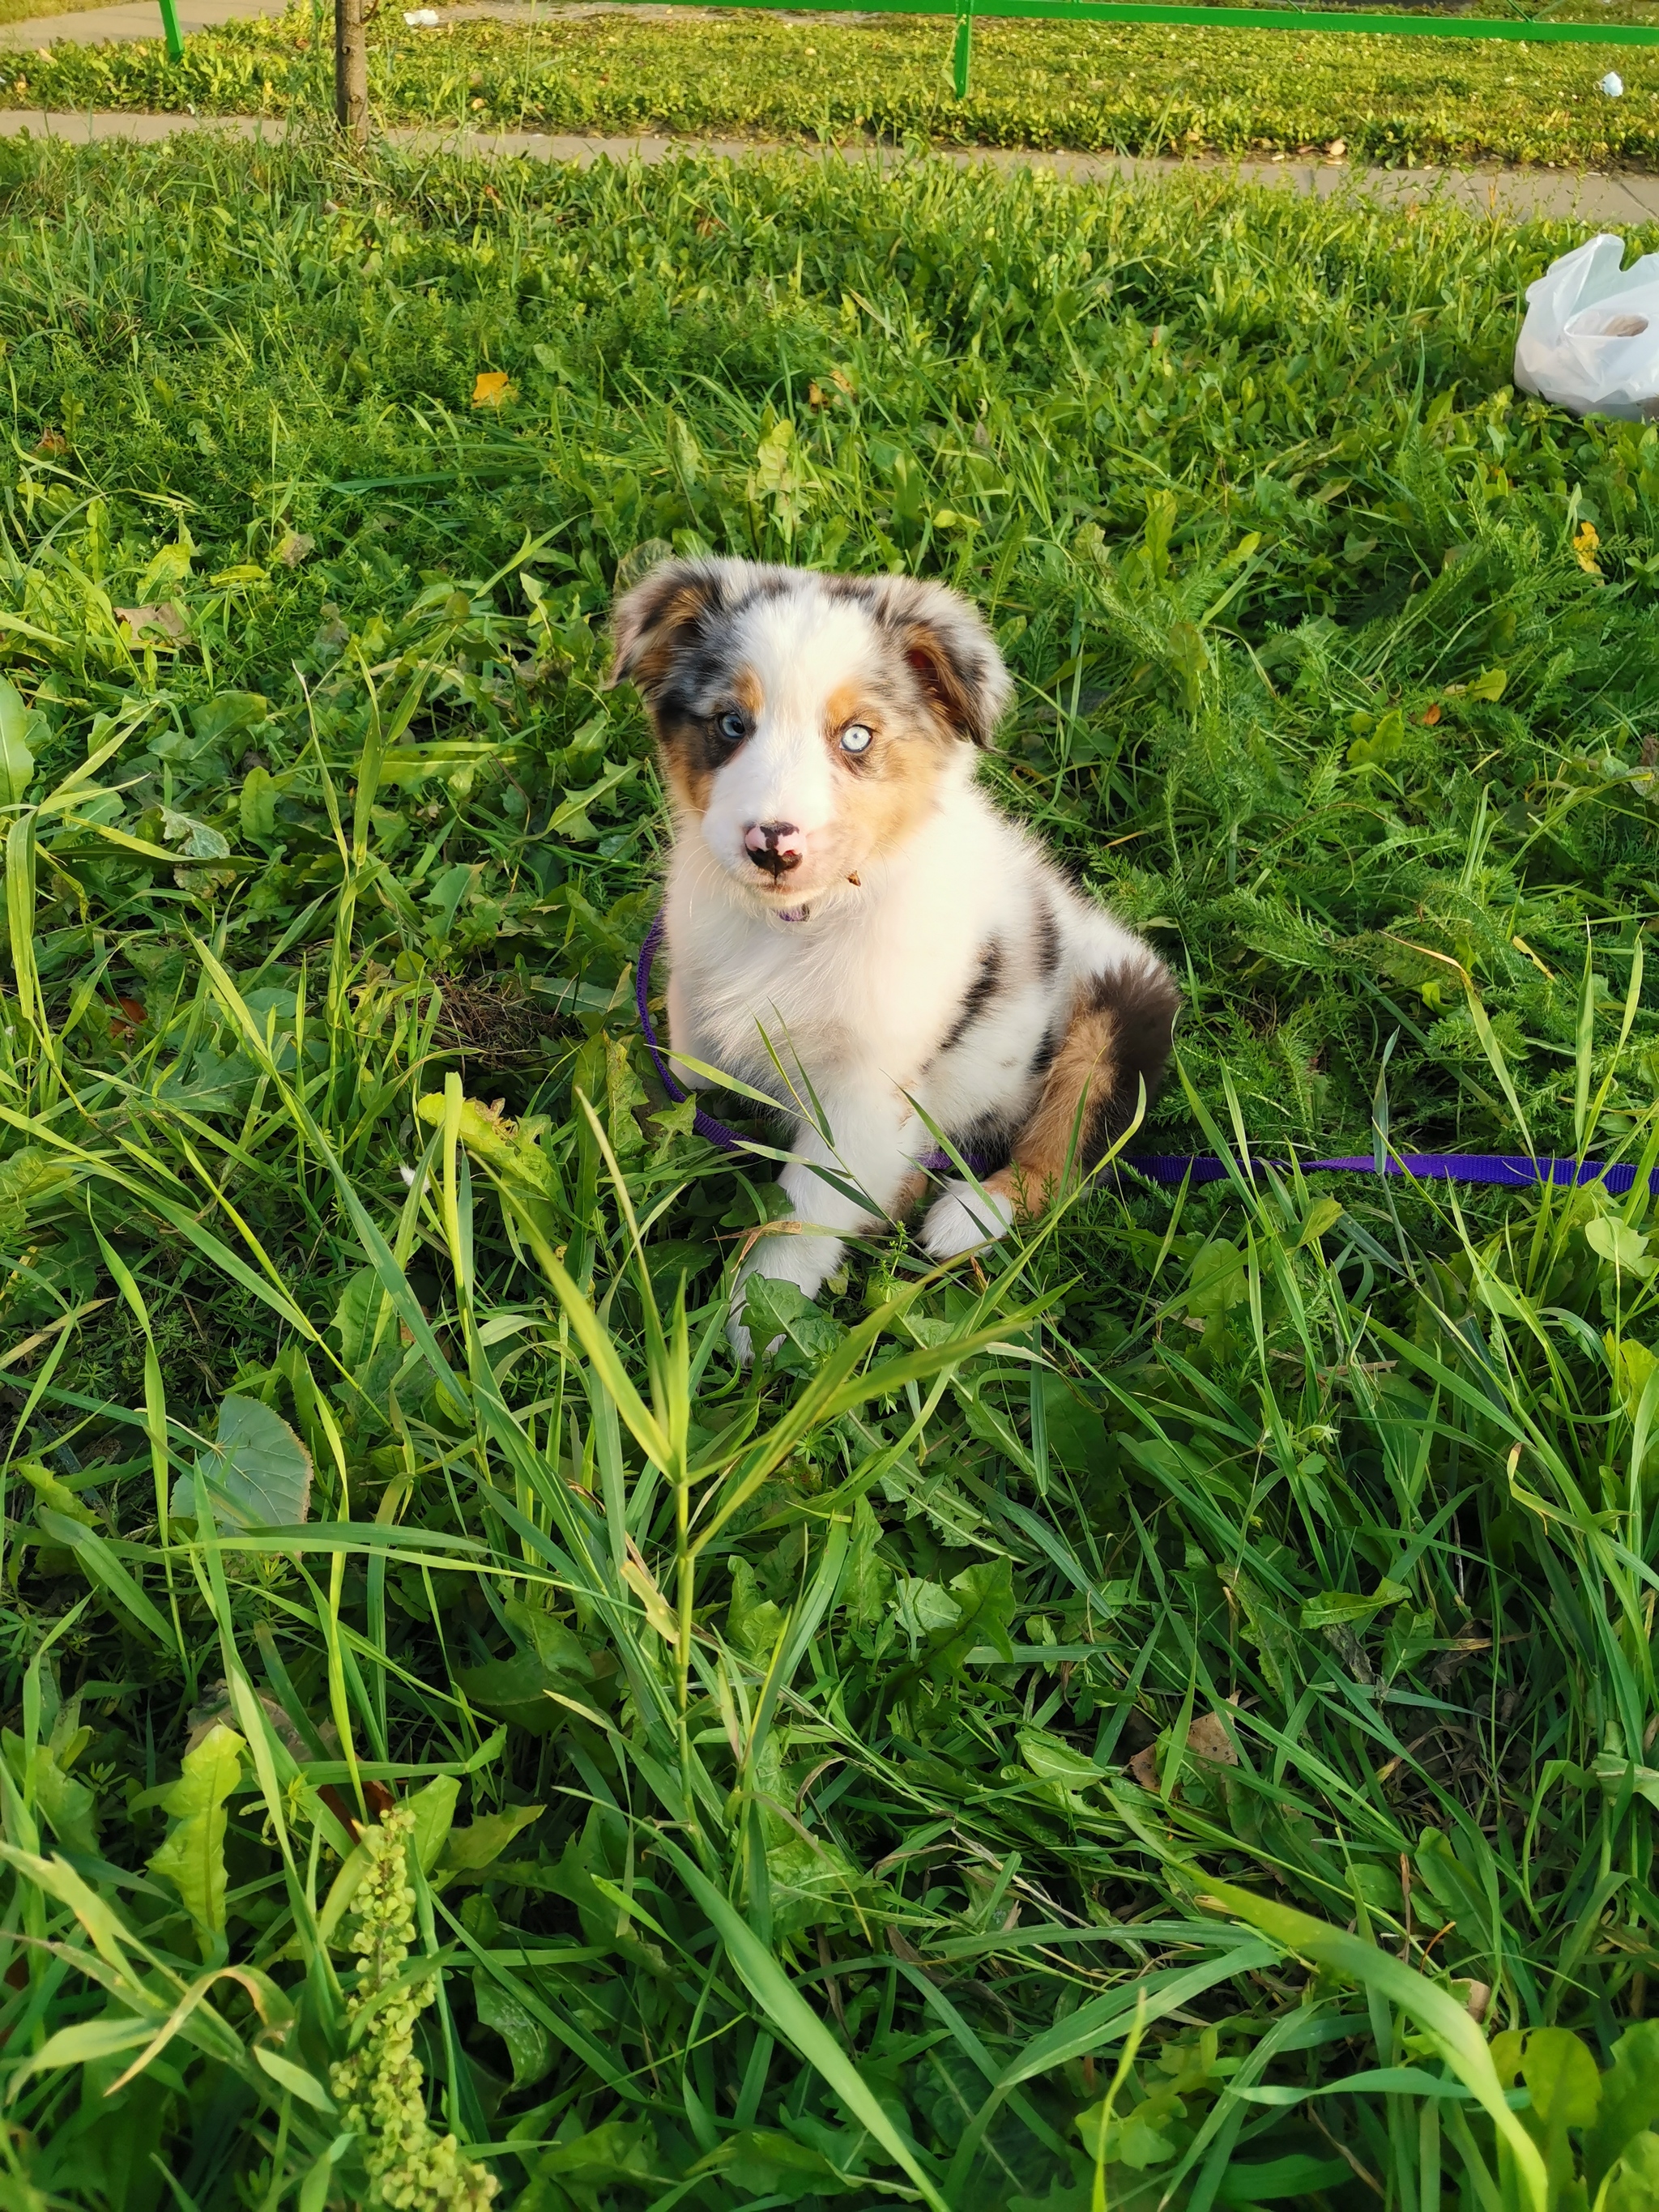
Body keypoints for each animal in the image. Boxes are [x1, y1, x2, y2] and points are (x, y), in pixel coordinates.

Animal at [610, 557, 1185, 1345]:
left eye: (856, 737)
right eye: (731, 723)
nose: (771, 844)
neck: (799, 921)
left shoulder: (867, 1086)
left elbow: (809, 1207)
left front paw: (762, 1315)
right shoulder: (695, 994)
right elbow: (685, 1082)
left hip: (1120, 1005)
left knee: (1063, 1151)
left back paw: (969, 1214)